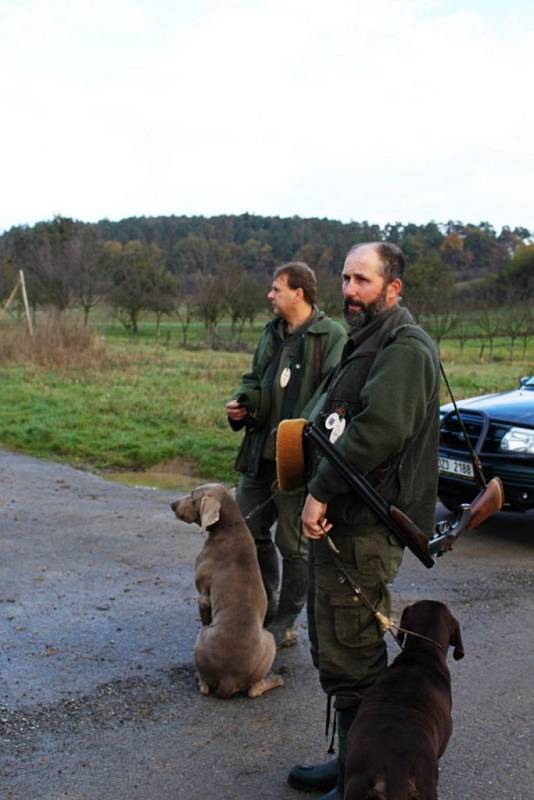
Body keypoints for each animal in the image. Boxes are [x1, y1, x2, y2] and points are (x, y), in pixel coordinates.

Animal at [172, 484, 284, 696]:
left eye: (192, 497)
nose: (172, 504)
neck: (230, 527)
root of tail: (228, 680)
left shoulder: (203, 596)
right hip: (268, 643)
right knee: (254, 690)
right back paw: (276, 680)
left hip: (211, 637)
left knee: (207, 688)